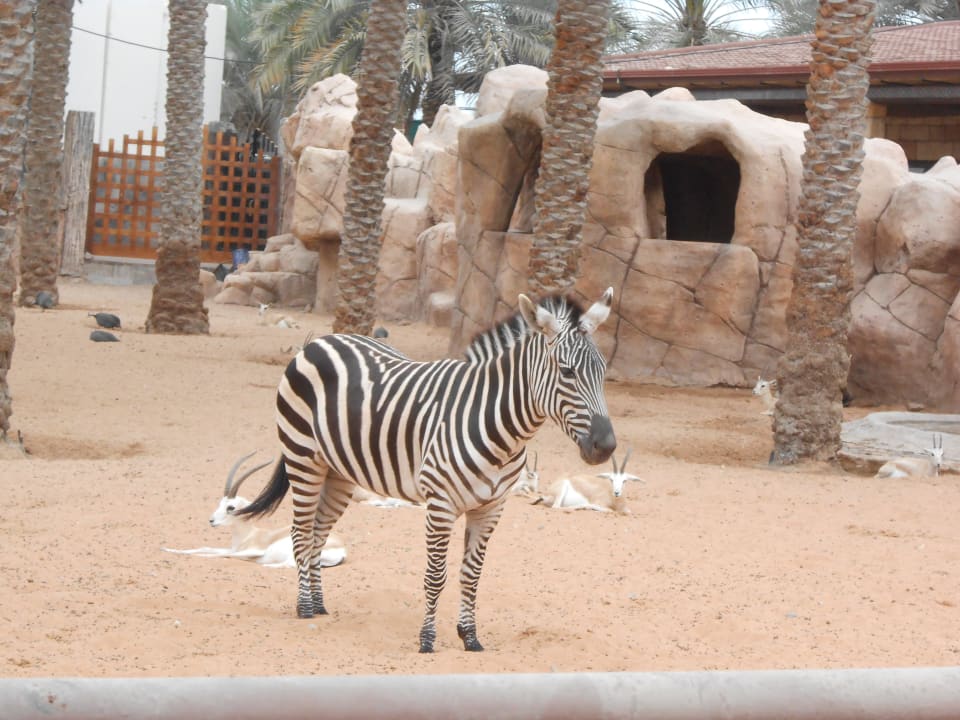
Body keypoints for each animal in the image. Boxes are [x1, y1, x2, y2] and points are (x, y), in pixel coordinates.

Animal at [237, 287, 618, 653]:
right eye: (567, 372)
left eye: (603, 372)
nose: (606, 446)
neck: (498, 427)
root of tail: (319, 342)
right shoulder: (441, 503)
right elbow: (436, 576)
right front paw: (427, 640)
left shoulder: (491, 507)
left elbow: (472, 575)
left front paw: (470, 637)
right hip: (303, 458)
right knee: (301, 533)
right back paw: (304, 607)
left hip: (339, 473)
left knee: (317, 533)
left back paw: (318, 604)